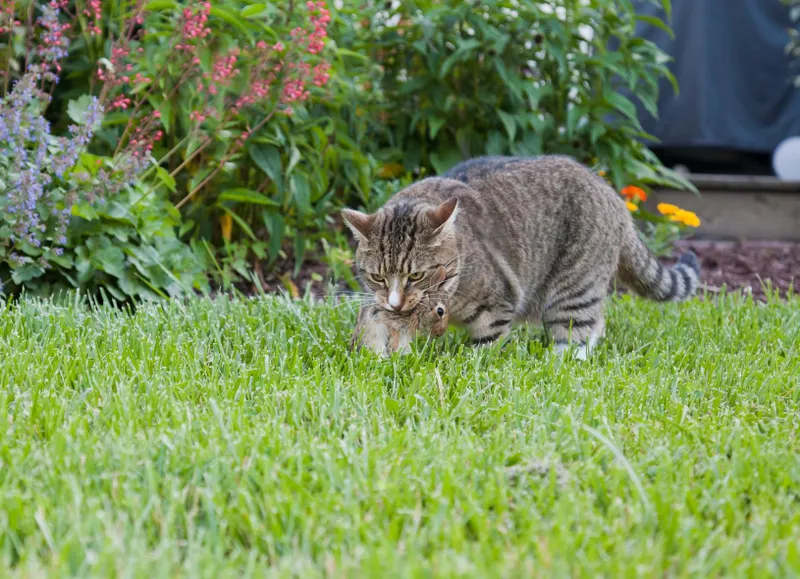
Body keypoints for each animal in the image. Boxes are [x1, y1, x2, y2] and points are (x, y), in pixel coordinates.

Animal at [340, 156, 696, 360]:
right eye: (377, 277)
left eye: (416, 275)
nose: (396, 302)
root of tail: (611, 192)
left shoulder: (496, 305)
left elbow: (485, 345)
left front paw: (471, 365)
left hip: (574, 288)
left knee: (578, 331)